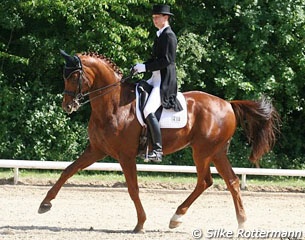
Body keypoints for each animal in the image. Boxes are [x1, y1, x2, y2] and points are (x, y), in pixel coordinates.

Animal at [37, 50, 278, 232]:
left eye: (73, 77)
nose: (67, 106)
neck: (112, 104)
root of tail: (228, 104)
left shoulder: (125, 156)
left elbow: (133, 188)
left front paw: (140, 224)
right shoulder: (96, 150)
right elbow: (68, 170)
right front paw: (45, 203)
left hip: (202, 152)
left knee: (204, 181)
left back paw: (177, 217)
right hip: (216, 152)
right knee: (232, 182)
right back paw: (240, 223)